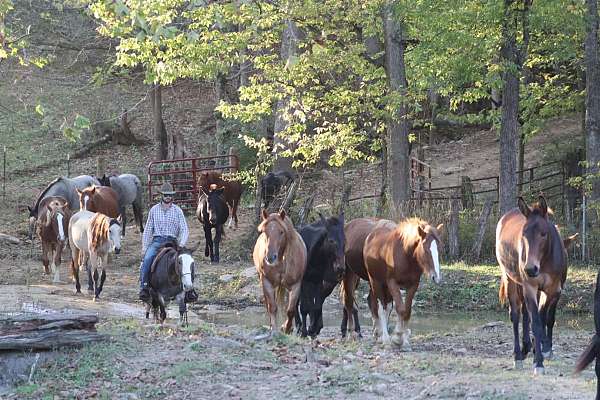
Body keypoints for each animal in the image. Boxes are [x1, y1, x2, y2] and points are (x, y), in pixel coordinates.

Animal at [364, 217, 442, 348]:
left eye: (439, 250)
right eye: (426, 249)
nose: (436, 277)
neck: (406, 255)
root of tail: (370, 236)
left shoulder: (413, 285)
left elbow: (407, 310)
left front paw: (403, 340)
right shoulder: (393, 283)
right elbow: (400, 309)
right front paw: (397, 337)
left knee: (387, 308)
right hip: (376, 282)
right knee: (381, 309)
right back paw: (384, 339)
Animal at [496, 197, 576, 376]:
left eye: (543, 233)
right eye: (524, 234)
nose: (530, 269)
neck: (545, 260)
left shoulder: (554, 291)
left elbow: (547, 318)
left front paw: (544, 348)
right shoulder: (531, 288)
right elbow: (537, 323)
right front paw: (538, 362)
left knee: (527, 313)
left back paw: (528, 347)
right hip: (511, 280)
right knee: (516, 315)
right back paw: (518, 355)